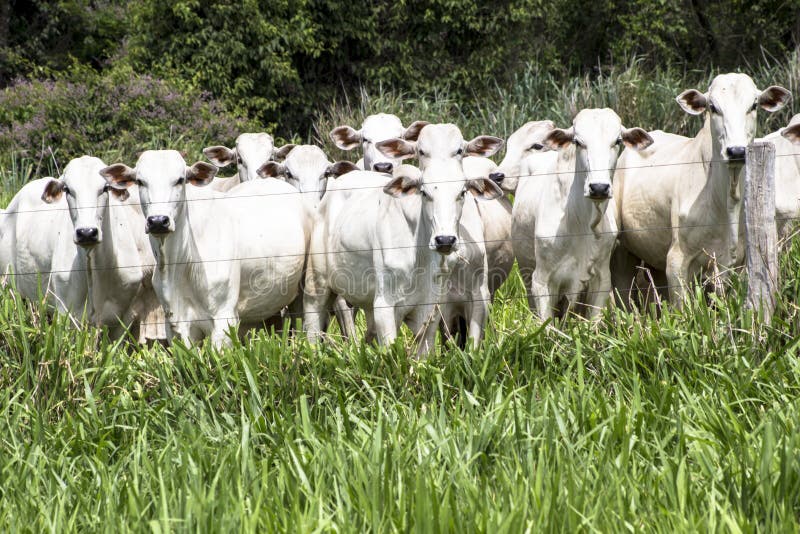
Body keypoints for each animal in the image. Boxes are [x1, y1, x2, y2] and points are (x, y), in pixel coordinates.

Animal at [100, 150, 307, 347]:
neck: (177, 265)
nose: (158, 221)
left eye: (180, 180)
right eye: (140, 181)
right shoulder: (177, 326)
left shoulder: (225, 320)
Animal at [304, 124, 503, 356]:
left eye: (462, 192)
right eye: (424, 192)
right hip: (317, 286)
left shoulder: (434, 309)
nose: (445, 239)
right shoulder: (384, 306)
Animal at [513, 109, 653, 319]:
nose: (599, 187)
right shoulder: (541, 281)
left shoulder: (601, 280)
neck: (580, 222)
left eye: (618, 141)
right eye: (578, 142)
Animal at [614, 73, 791, 305]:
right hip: (624, 255)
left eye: (754, 105)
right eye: (713, 107)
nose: (736, 151)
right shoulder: (677, 261)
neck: (726, 200)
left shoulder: (736, 265)